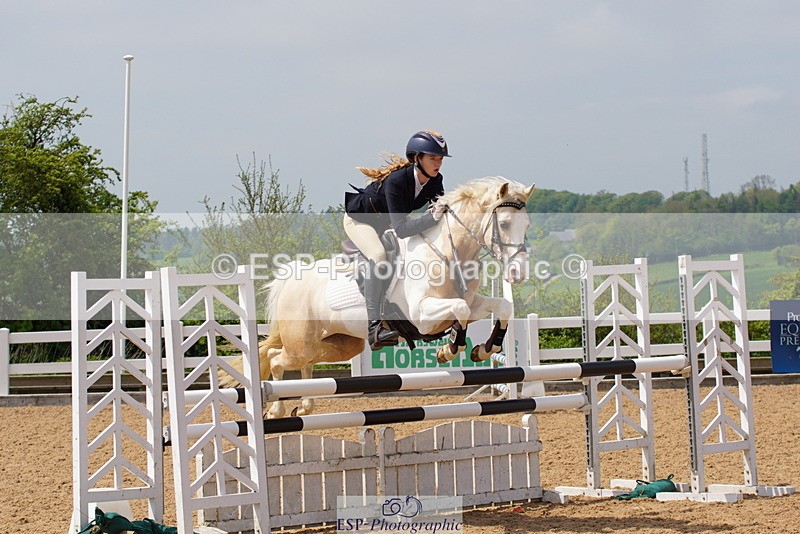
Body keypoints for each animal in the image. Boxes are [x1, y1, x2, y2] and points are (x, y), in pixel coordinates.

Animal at [223, 176, 535, 418]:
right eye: (504, 225)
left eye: (527, 225)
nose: (518, 273)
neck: (445, 250)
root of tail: (291, 280)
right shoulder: (422, 316)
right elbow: (460, 310)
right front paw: (448, 349)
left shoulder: (472, 301)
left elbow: (501, 307)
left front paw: (484, 349)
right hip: (302, 342)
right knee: (276, 359)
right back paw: (276, 409)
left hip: (340, 344)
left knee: (305, 362)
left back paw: (306, 405)